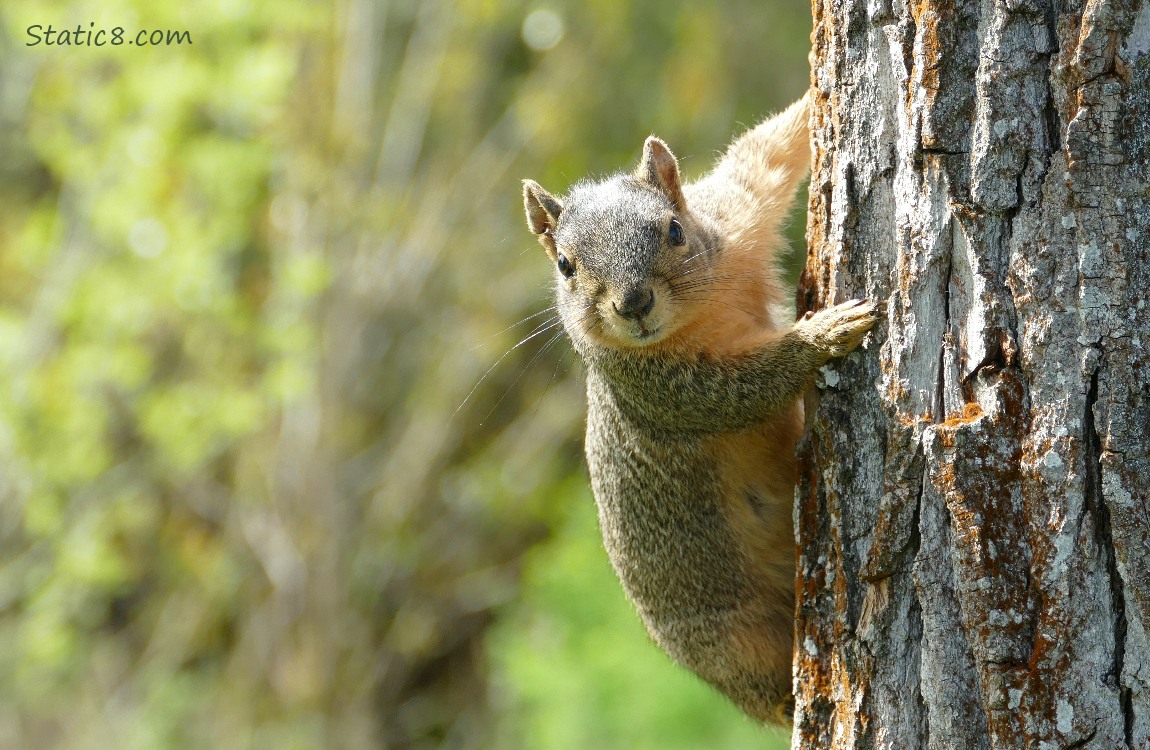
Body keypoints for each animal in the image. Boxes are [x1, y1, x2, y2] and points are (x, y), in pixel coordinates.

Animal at [521, 93, 877, 723]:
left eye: (674, 229)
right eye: (564, 265)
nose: (634, 304)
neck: (701, 309)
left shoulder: (737, 213)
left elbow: (765, 153)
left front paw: (813, 101)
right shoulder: (661, 389)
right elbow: (742, 390)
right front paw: (824, 334)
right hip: (735, 642)